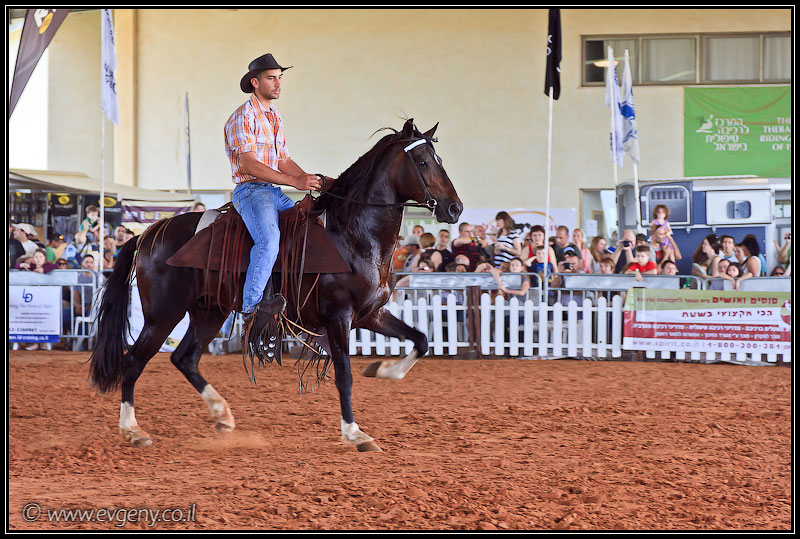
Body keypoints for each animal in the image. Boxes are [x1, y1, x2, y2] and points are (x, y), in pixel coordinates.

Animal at [88, 118, 463, 452]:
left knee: (185, 358)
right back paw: (133, 431)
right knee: (133, 362)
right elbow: (344, 374)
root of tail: (148, 235)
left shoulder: (371, 314)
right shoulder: (338, 317)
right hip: (163, 315)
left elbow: (421, 340)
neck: (353, 236)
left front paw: (382, 369)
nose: (454, 208)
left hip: (209, 312)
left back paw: (222, 415)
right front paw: (355, 434)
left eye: (440, 160)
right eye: (422, 162)